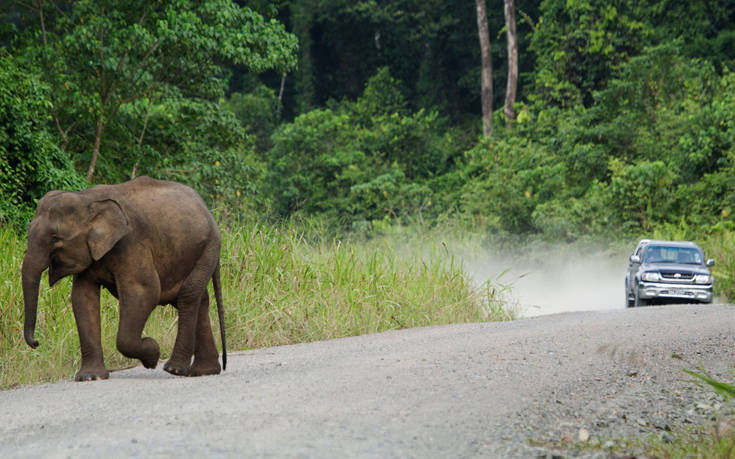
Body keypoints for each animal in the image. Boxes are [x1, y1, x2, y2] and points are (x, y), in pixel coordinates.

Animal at [21, 176, 227, 380]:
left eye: (55, 238)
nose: (36, 342)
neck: (87, 199)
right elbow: (82, 298)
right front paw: (90, 377)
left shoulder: (132, 243)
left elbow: (144, 291)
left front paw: (152, 354)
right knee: (199, 299)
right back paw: (204, 371)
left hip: (209, 247)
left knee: (188, 295)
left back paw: (174, 369)